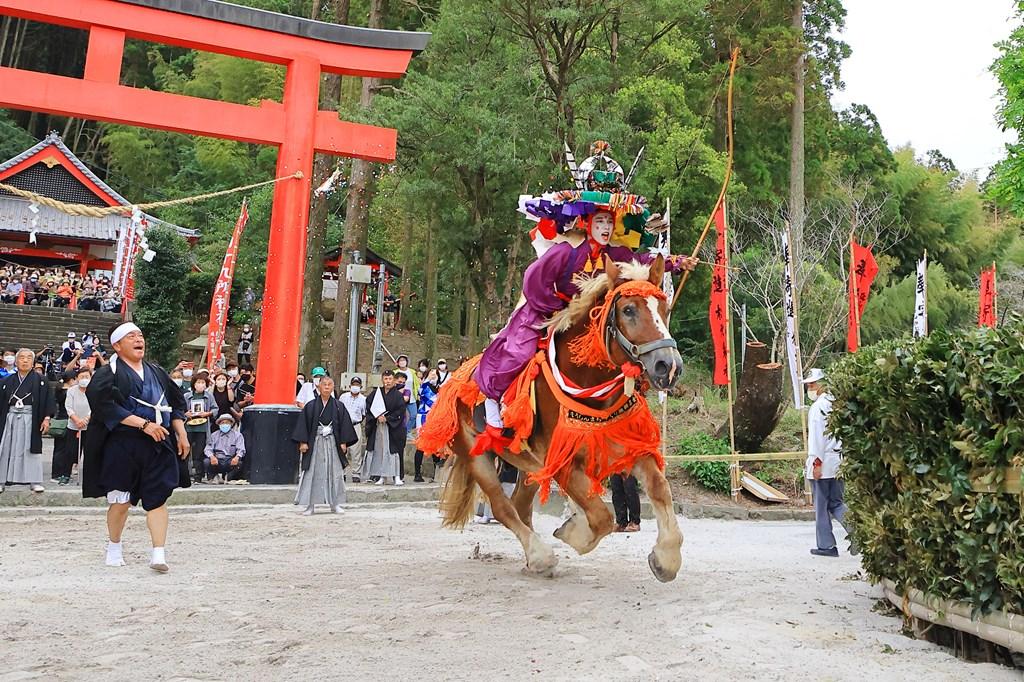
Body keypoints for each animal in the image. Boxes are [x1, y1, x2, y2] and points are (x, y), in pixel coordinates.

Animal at [419, 253, 684, 577]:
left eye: (665, 310)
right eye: (629, 310)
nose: (668, 366)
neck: (588, 385)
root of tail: (455, 377)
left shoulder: (628, 445)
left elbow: (659, 488)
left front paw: (666, 558)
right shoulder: (561, 461)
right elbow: (601, 518)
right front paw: (575, 531)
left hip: (529, 464)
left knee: (520, 506)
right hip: (474, 452)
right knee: (503, 507)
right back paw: (540, 555)